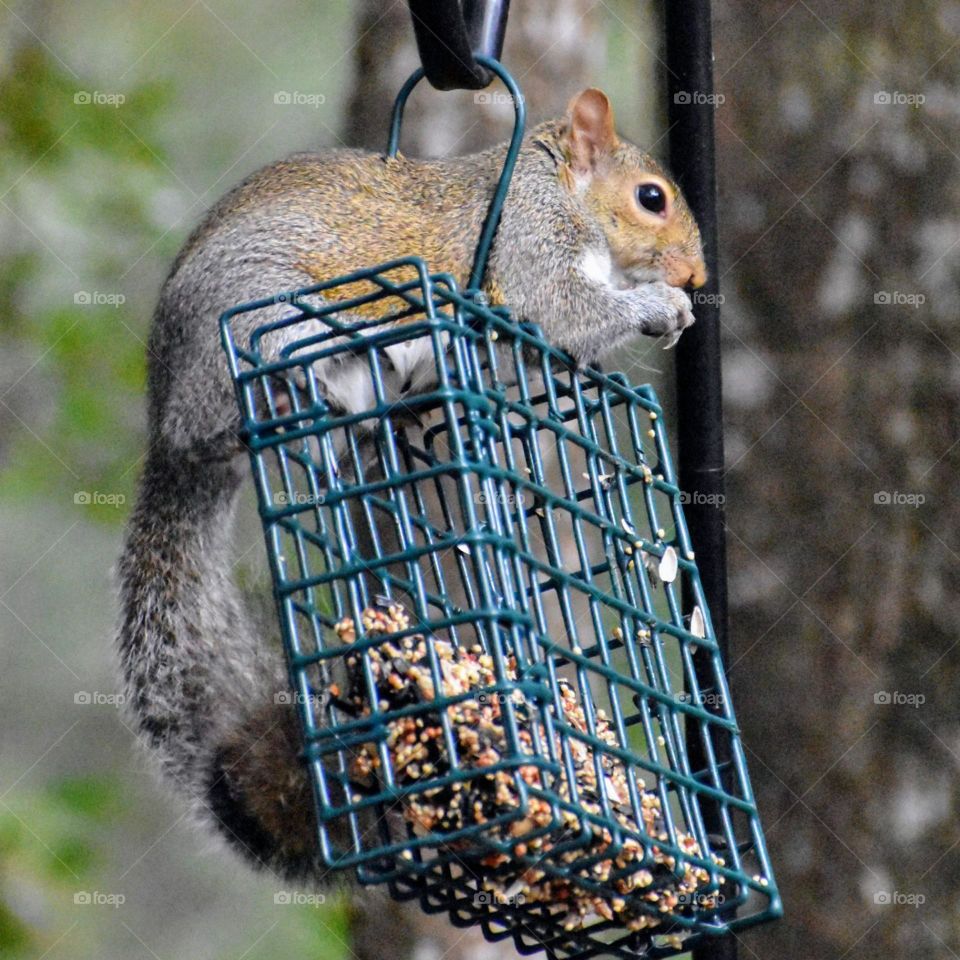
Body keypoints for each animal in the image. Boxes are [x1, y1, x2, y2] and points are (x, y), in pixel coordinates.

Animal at [116, 88, 706, 888]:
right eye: (652, 198)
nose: (696, 279)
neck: (559, 188)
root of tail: (168, 434)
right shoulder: (525, 243)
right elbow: (561, 307)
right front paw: (658, 309)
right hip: (254, 330)